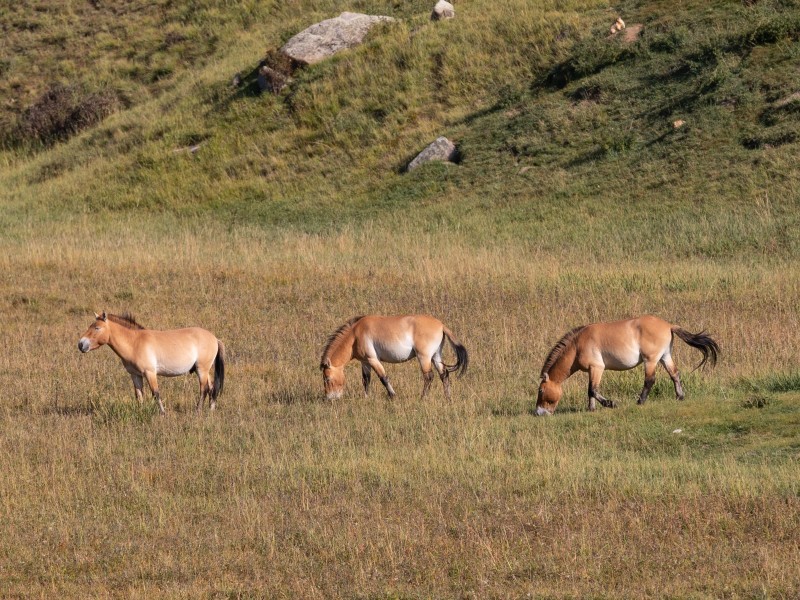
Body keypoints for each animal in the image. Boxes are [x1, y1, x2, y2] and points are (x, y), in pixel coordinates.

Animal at [78, 312, 225, 414]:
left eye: (97, 328)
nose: (81, 344)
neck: (134, 343)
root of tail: (215, 338)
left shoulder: (150, 373)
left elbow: (155, 393)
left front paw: (163, 413)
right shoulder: (135, 375)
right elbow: (139, 395)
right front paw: (141, 411)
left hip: (202, 370)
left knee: (204, 389)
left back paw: (198, 411)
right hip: (205, 371)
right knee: (212, 388)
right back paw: (210, 410)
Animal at [320, 315, 469, 401]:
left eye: (327, 378)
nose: (330, 398)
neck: (355, 335)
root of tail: (441, 325)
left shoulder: (373, 360)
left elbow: (383, 378)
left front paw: (392, 396)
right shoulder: (365, 362)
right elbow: (366, 380)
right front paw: (366, 398)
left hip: (424, 357)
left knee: (429, 377)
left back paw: (422, 398)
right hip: (436, 356)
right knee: (444, 374)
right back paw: (448, 398)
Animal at [535, 315, 719, 415]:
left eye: (541, 390)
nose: (539, 412)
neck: (578, 344)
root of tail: (668, 325)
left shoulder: (597, 368)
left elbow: (592, 390)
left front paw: (611, 404)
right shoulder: (592, 371)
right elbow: (590, 391)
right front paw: (591, 409)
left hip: (650, 360)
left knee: (650, 380)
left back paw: (640, 401)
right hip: (665, 357)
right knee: (675, 374)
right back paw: (680, 396)